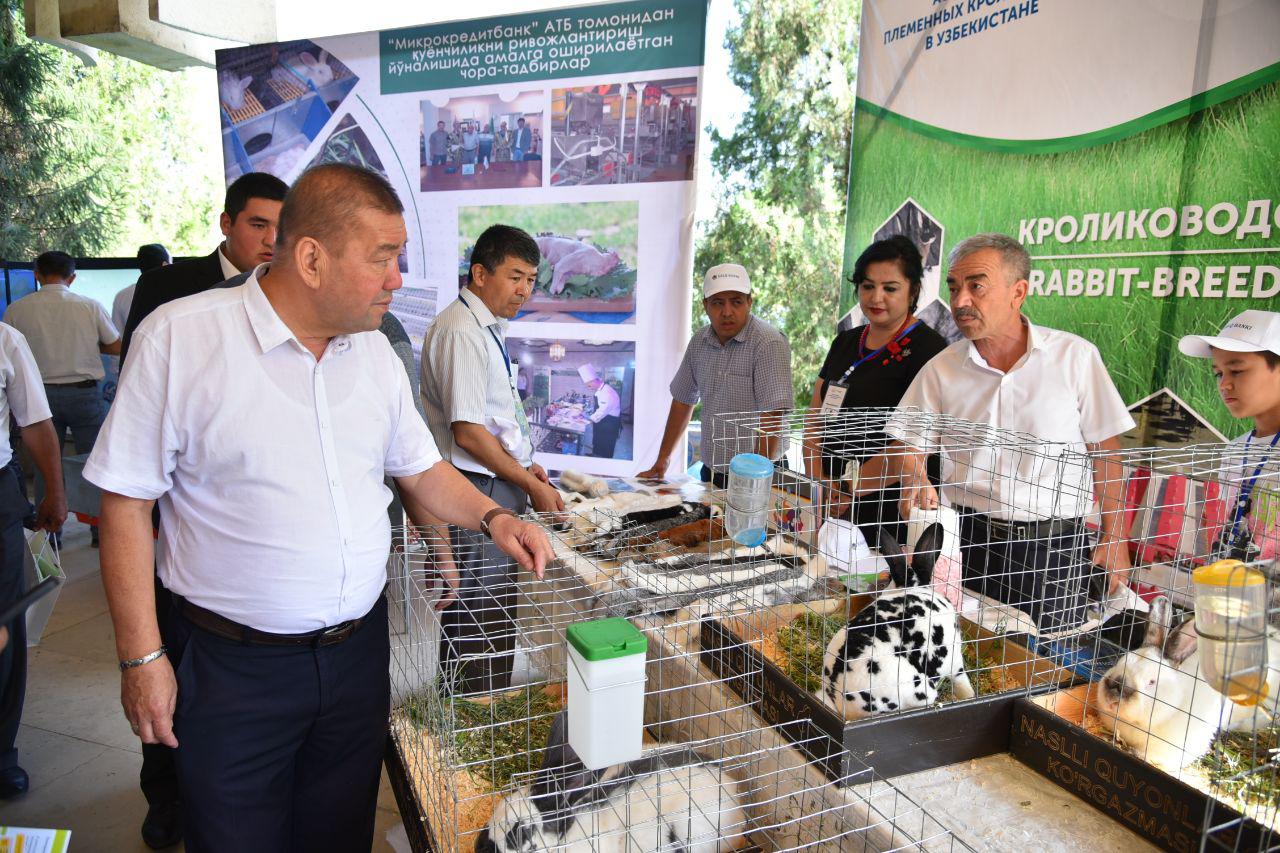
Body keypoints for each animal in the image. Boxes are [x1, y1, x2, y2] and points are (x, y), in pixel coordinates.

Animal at [824, 517, 972, 717]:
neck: (912, 586)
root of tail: (845, 705)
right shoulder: (955, 662)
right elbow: (964, 685)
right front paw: (970, 696)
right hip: (922, 690)